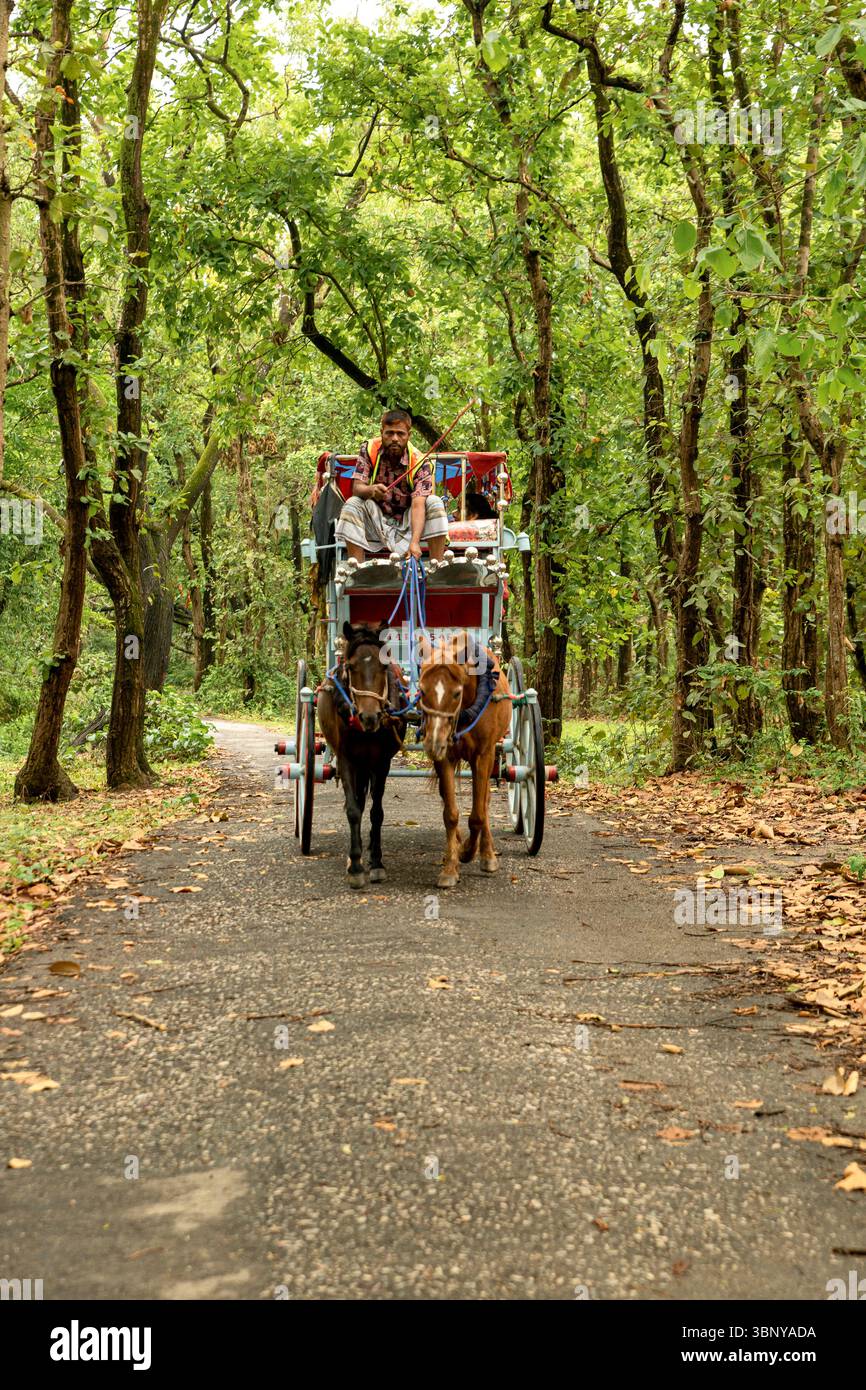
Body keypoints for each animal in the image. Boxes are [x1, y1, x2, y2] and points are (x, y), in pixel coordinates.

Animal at [317, 621, 407, 889]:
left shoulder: (382, 762)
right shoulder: (346, 759)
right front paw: (355, 865)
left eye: (384, 666)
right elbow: (353, 810)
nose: (369, 717)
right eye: (351, 667)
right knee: (356, 801)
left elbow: (376, 812)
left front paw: (376, 862)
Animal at [418, 631, 512, 888]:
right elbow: (450, 813)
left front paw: (470, 851)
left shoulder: (484, 755)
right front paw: (451, 865)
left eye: (456, 693)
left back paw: (486, 853)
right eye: (422, 691)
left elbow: (478, 815)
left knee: (485, 802)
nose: (433, 742)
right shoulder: (445, 758)